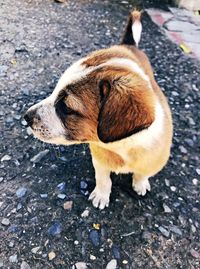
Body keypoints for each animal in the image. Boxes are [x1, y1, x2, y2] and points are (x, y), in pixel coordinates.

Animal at [24, 11, 173, 209]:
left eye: (65, 107)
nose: (26, 117)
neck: (121, 147)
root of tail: (129, 45)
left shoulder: (153, 162)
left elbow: (142, 173)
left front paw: (140, 184)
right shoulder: (99, 159)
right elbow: (103, 178)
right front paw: (101, 195)